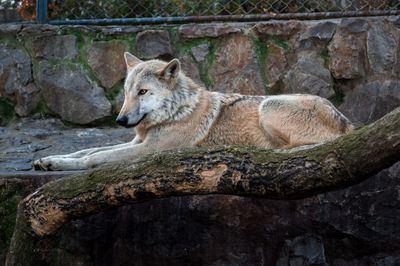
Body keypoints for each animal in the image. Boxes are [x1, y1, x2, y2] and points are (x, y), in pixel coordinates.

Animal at [34, 52, 354, 170]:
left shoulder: (148, 149)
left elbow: (96, 158)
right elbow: (86, 150)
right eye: (127, 92)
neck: (176, 110)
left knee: (308, 146)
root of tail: (349, 125)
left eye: (143, 92)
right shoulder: (137, 141)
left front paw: (61, 165)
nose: (121, 120)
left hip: (268, 105)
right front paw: (49, 160)